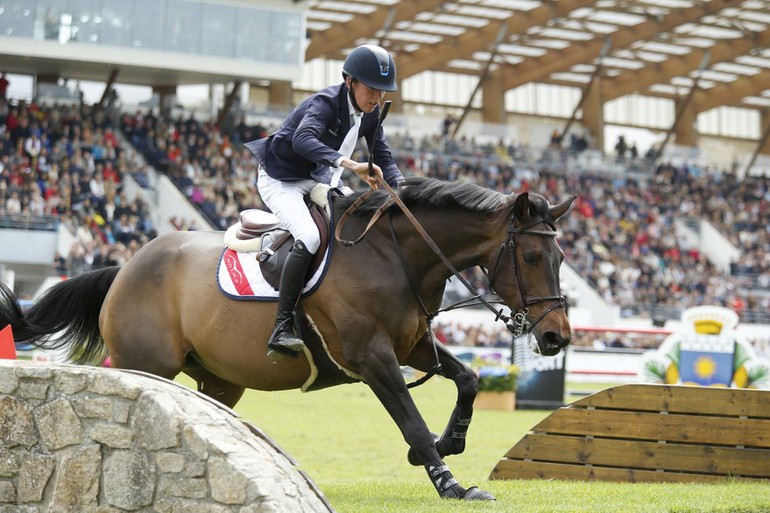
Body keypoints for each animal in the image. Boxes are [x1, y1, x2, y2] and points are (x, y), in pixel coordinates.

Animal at [0, 177, 572, 500]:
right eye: (531, 256)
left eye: (562, 256)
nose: (555, 338)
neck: (396, 255)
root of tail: (126, 265)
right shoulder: (373, 358)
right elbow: (411, 420)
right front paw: (449, 482)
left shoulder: (412, 346)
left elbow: (469, 379)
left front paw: (447, 442)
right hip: (147, 363)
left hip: (219, 381)